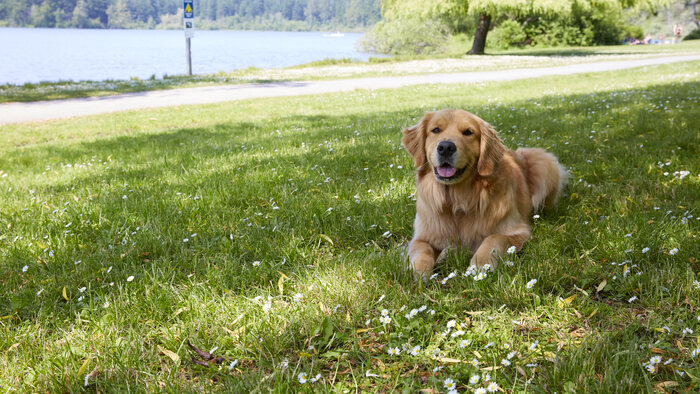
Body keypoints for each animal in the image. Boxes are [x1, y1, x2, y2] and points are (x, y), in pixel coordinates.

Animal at [402, 109, 568, 278]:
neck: (457, 201)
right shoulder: (422, 236)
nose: (446, 147)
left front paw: (480, 265)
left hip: (543, 163)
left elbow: (492, 238)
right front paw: (418, 272)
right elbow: (422, 250)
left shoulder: (518, 231)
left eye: (468, 132)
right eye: (435, 130)